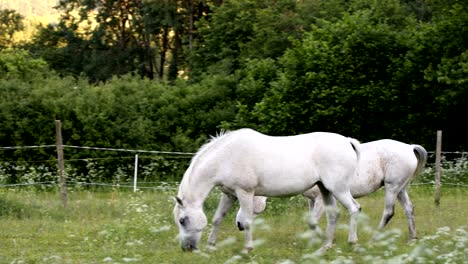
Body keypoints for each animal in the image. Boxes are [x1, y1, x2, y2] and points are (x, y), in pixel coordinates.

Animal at [174, 129, 360, 253]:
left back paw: (352, 242)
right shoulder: (229, 195)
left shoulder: (245, 193)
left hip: (338, 188)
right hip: (326, 189)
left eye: (182, 220)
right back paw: (325, 246)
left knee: (354, 209)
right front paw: (210, 245)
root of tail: (348, 141)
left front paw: (248, 249)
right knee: (334, 214)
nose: (187, 248)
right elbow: (217, 218)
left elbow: (247, 221)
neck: (225, 157)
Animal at [227, 139, 428, 244]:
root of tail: (409, 147)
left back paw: (373, 238)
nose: (239, 224)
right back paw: (412, 238)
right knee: (409, 209)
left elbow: (313, 221)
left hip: (392, 187)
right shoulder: (312, 201)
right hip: (400, 188)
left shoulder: (320, 200)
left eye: (248, 202)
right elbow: (313, 220)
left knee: (388, 212)